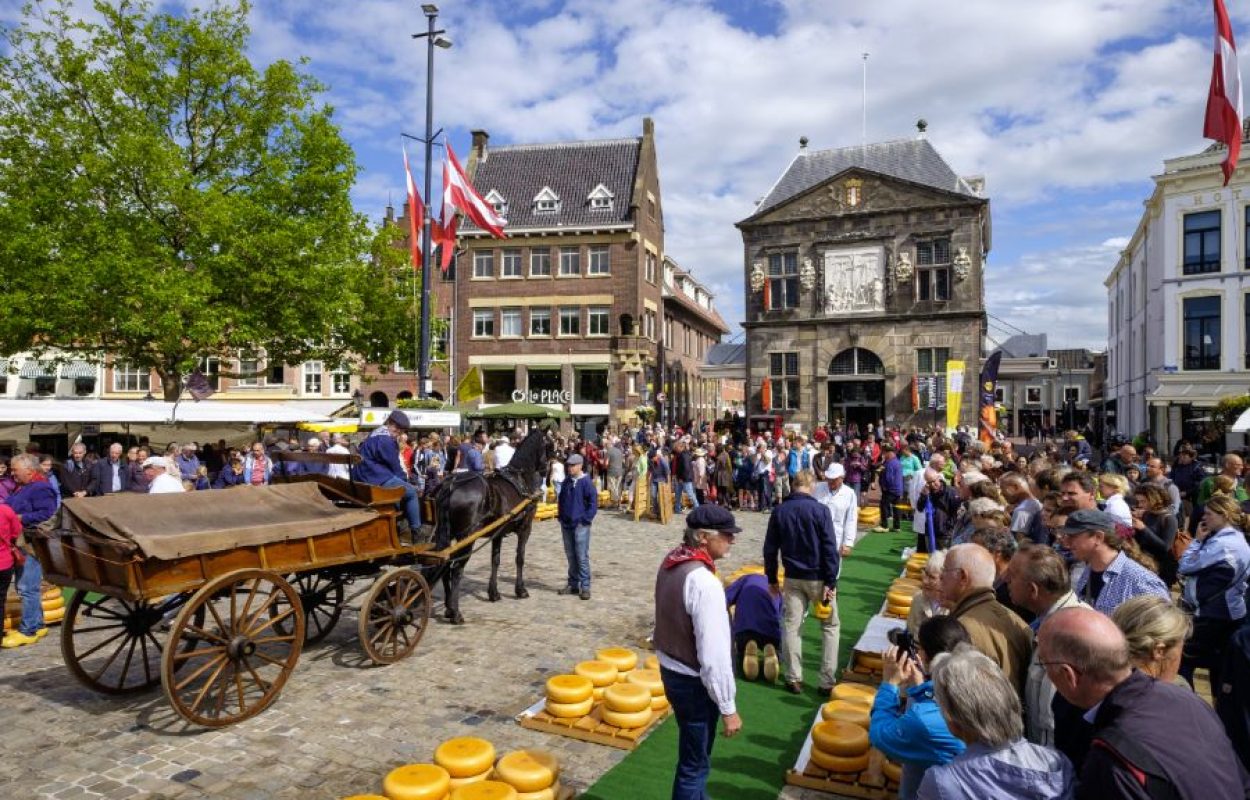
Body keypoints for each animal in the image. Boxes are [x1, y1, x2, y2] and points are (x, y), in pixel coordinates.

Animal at [432, 430, 550, 625]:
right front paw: (520, 590)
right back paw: (456, 613)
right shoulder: (525, 528)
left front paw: (493, 593)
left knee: (445, 565)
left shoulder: (497, 534)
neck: (520, 478)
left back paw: (448, 608)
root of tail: (451, 483)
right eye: (550, 444)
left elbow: (495, 560)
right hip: (467, 538)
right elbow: (520, 558)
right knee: (456, 569)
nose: (545, 470)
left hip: (447, 536)